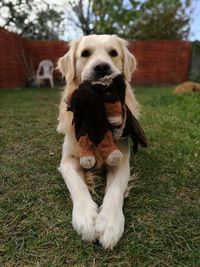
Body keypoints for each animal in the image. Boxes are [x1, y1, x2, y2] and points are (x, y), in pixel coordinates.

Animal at [57, 34, 140, 250]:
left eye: (113, 53)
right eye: (85, 53)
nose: (102, 67)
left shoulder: (121, 159)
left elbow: (115, 190)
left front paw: (110, 222)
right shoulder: (67, 161)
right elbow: (77, 186)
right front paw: (86, 217)